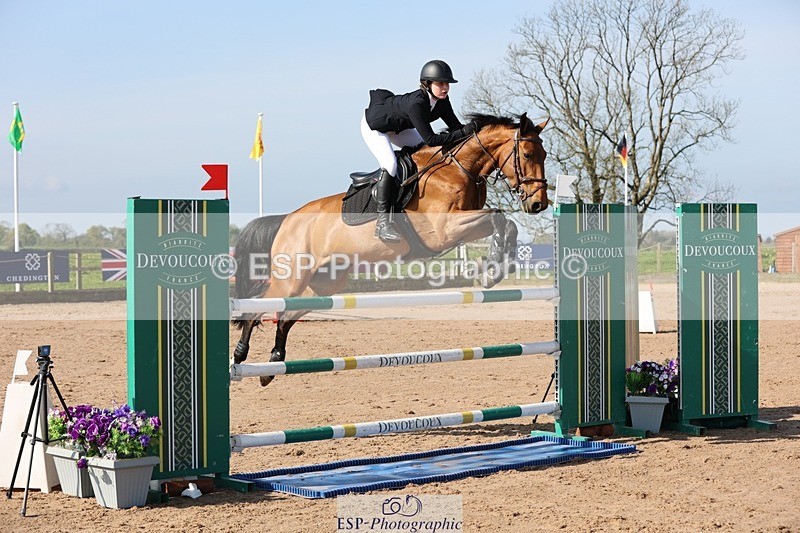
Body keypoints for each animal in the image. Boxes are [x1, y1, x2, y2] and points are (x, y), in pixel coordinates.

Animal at [232, 113, 549, 385]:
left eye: (544, 155)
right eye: (527, 155)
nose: (538, 204)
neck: (458, 169)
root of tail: (287, 220)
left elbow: (505, 222)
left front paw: (497, 266)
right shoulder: (444, 231)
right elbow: (497, 217)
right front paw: (491, 269)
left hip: (323, 285)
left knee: (285, 317)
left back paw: (272, 365)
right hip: (291, 280)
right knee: (256, 307)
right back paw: (239, 356)